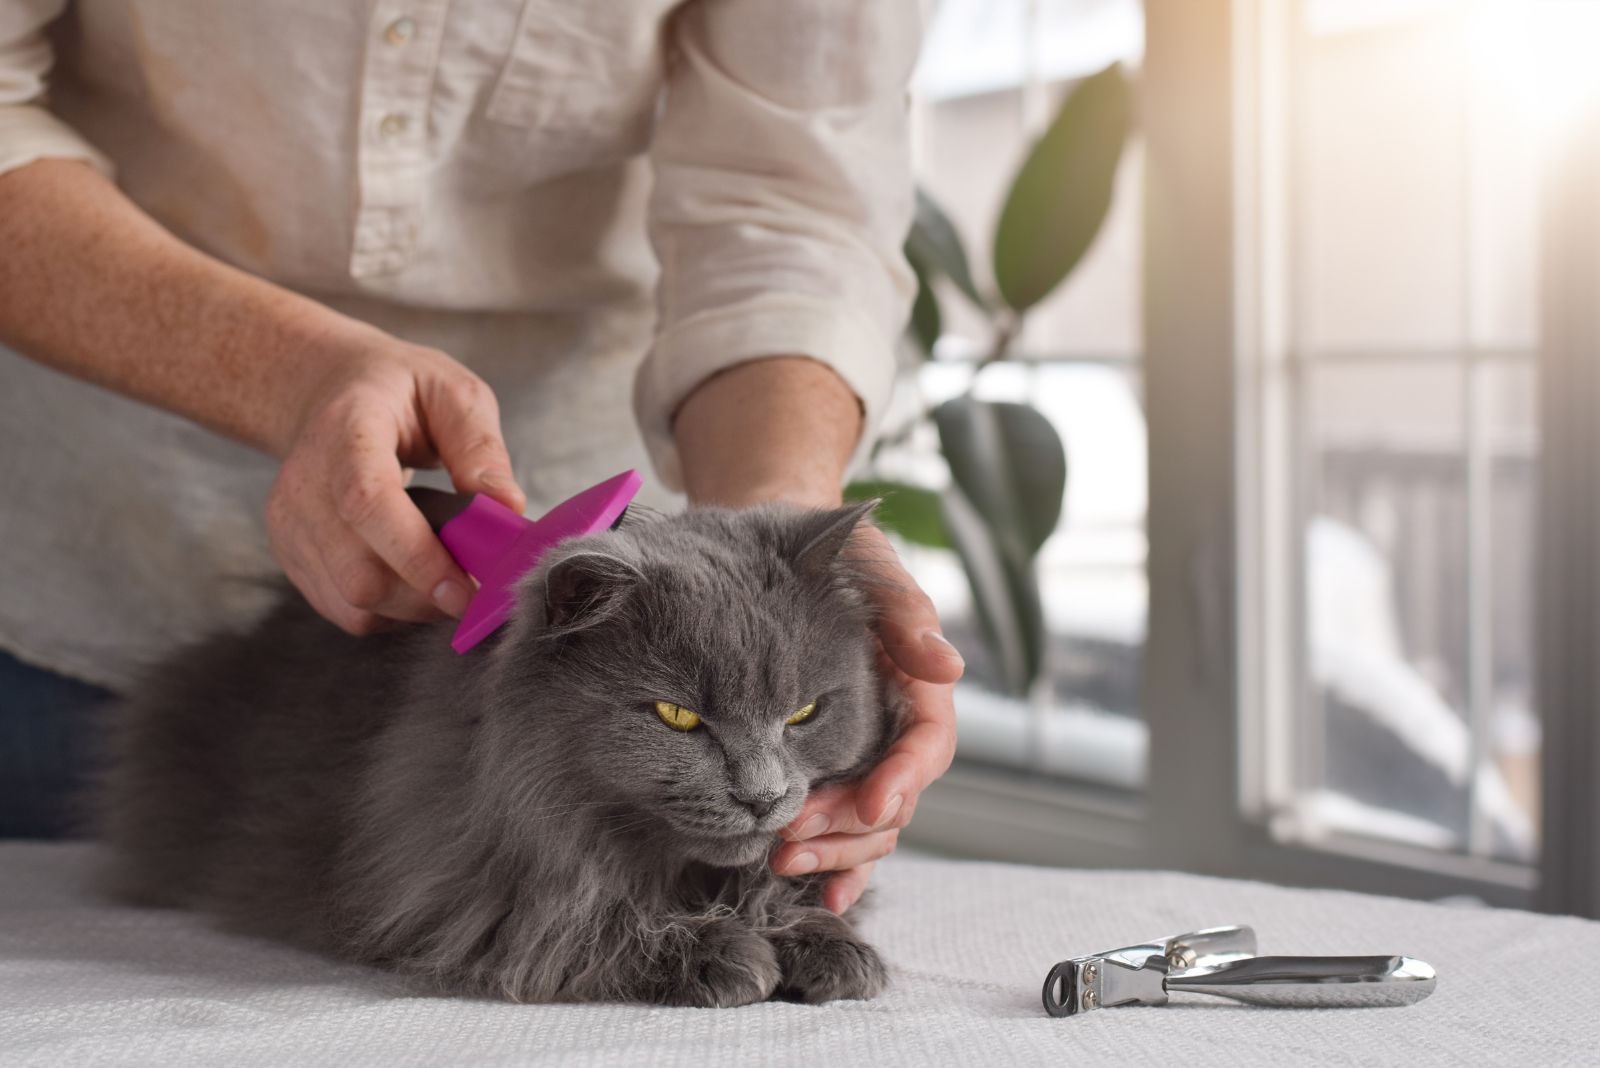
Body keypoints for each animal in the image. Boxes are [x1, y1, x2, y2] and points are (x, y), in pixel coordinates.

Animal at [93, 502, 908, 1010]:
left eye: (803, 713)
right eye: (678, 716)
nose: (761, 796)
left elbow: (790, 892)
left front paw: (825, 943)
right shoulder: (465, 897)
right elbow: (587, 926)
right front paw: (727, 955)